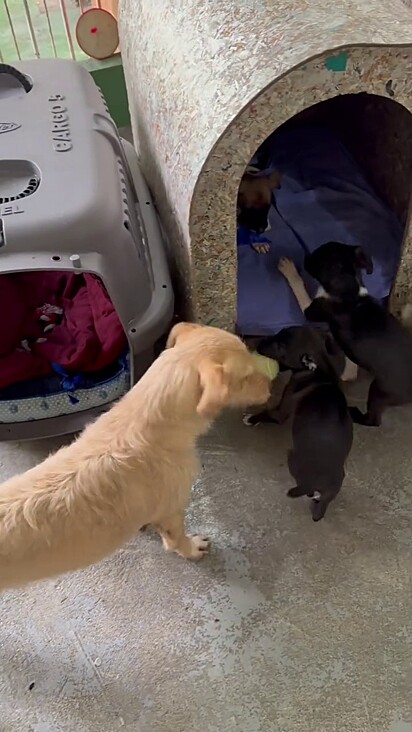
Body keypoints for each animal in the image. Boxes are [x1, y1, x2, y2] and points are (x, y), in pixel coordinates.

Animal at [0, 324, 270, 592]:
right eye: (246, 377)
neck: (146, 419)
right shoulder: (171, 511)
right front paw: (192, 549)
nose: (271, 386)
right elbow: (177, 540)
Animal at [246, 326, 352, 520]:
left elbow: (269, 413)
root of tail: (322, 484)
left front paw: (252, 419)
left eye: (281, 346)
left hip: (292, 457)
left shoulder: (281, 412)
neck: (321, 371)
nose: (257, 342)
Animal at [300, 242, 412, 424]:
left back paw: (354, 414)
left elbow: (299, 288)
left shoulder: (312, 311)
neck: (349, 289)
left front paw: (287, 268)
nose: (305, 257)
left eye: (315, 258)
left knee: (373, 420)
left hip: (379, 392)